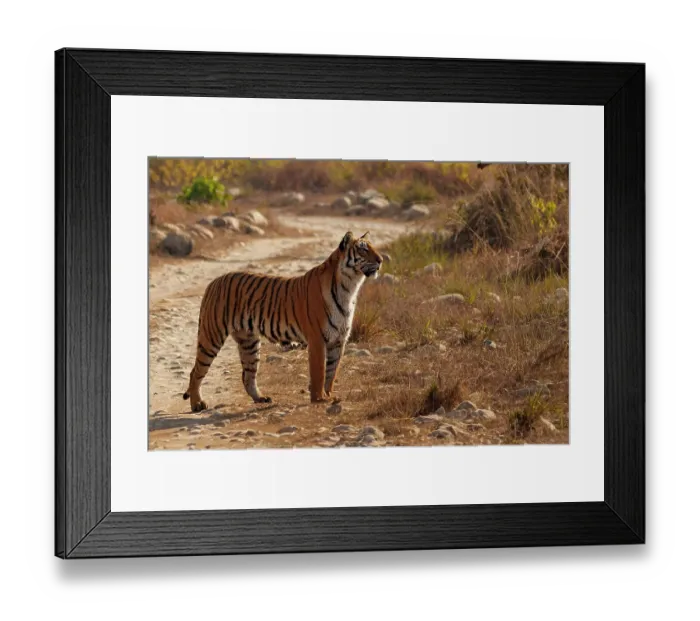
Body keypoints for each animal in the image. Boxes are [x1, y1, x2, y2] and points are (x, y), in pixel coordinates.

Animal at [183, 231, 383, 411]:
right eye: (363, 249)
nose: (381, 260)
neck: (349, 287)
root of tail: (214, 281)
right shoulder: (317, 339)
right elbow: (319, 371)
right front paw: (319, 399)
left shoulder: (339, 340)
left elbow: (331, 372)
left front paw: (329, 396)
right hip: (212, 336)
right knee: (196, 372)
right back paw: (197, 404)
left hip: (249, 342)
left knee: (248, 375)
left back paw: (261, 398)